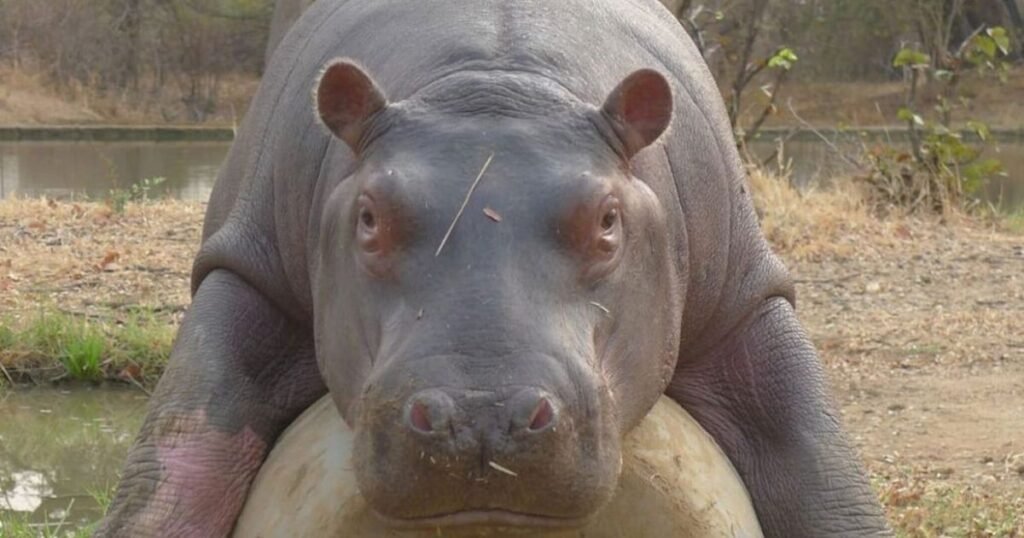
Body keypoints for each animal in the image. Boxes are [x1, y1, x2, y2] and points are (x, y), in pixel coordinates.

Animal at [97, 0, 890, 536]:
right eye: (369, 216)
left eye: (608, 219)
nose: (481, 414)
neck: (498, 79)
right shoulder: (247, 275)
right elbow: (176, 466)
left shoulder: (748, 301)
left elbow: (819, 475)